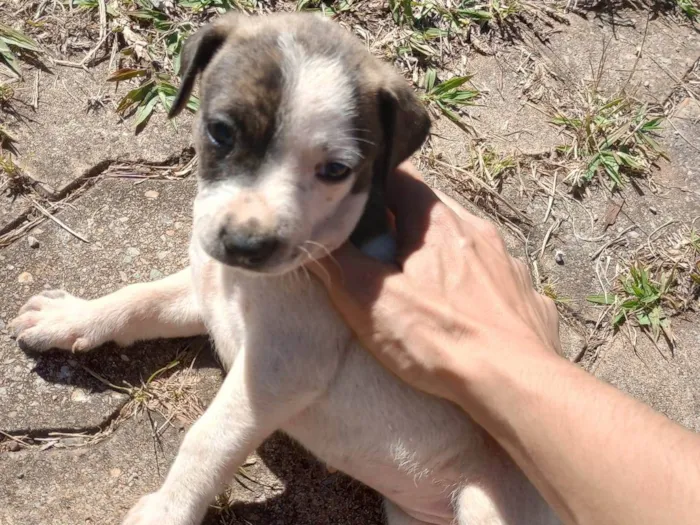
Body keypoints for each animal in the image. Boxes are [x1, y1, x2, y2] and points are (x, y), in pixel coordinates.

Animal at [9, 12, 556, 524]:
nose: (246, 244)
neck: (248, 282)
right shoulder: (207, 293)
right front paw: (70, 318)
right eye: (220, 132)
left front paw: (168, 510)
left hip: (489, 505)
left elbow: (207, 440)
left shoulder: (277, 371)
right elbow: (139, 299)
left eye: (335, 170)